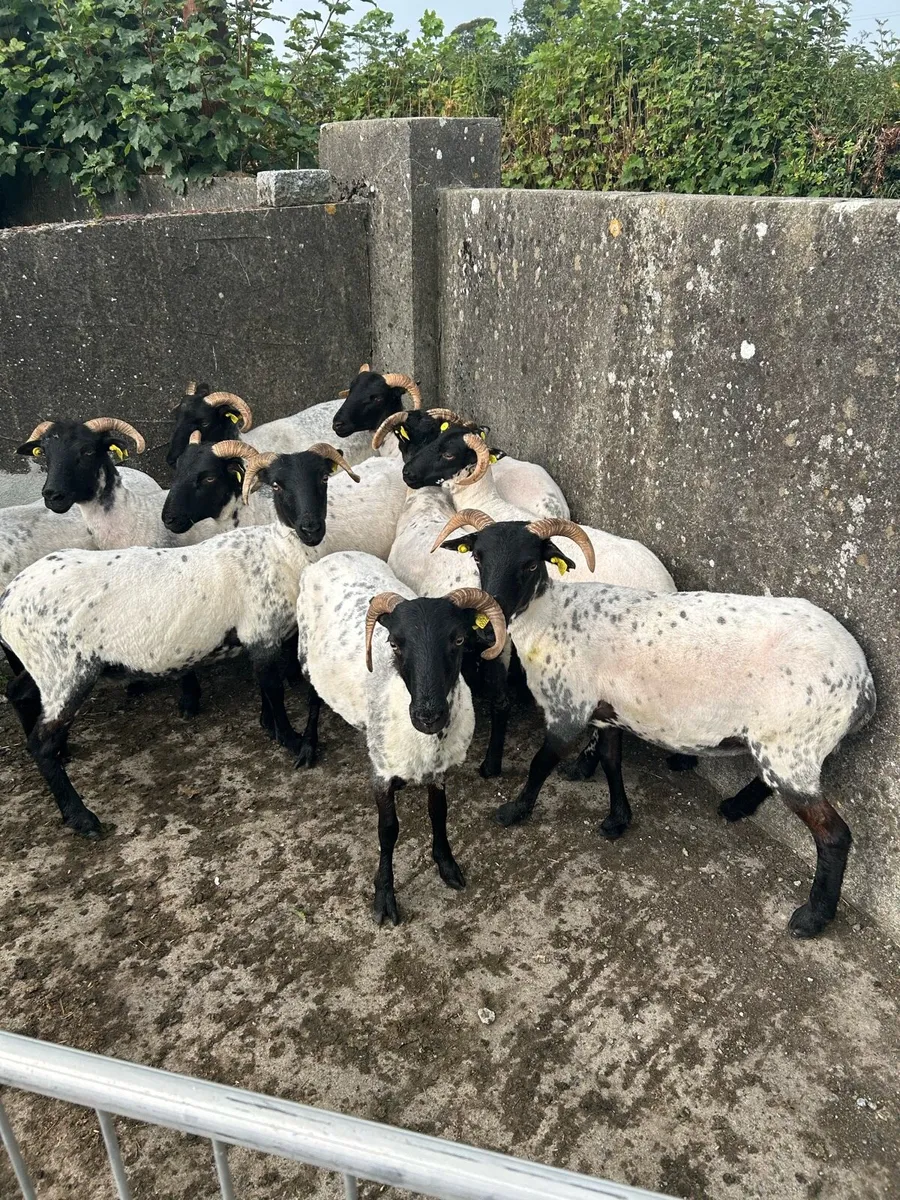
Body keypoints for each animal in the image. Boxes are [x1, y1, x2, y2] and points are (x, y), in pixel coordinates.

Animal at [0, 444, 362, 840]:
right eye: (278, 485)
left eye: (323, 478)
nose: (312, 529)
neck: (277, 553)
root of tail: (9, 598)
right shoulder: (262, 633)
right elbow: (274, 692)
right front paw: (292, 741)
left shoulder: (256, 640)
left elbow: (264, 691)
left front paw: (269, 726)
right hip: (66, 671)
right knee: (41, 742)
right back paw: (82, 818)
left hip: (45, 665)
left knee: (18, 692)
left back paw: (64, 754)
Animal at [295, 550, 507, 925]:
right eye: (394, 643)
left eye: (459, 640)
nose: (428, 715)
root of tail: (333, 554)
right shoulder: (380, 772)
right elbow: (388, 830)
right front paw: (384, 898)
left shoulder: (438, 771)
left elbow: (439, 813)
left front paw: (447, 866)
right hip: (305, 654)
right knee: (312, 697)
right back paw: (307, 746)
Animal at [433, 511, 876, 939]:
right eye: (478, 558)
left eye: (529, 564)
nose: (487, 619)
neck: (551, 619)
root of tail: (864, 684)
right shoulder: (607, 712)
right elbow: (611, 761)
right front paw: (617, 820)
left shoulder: (567, 708)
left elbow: (540, 764)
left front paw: (514, 811)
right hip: (785, 743)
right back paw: (735, 806)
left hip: (791, 742)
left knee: (834, 835)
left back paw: (812, 918)